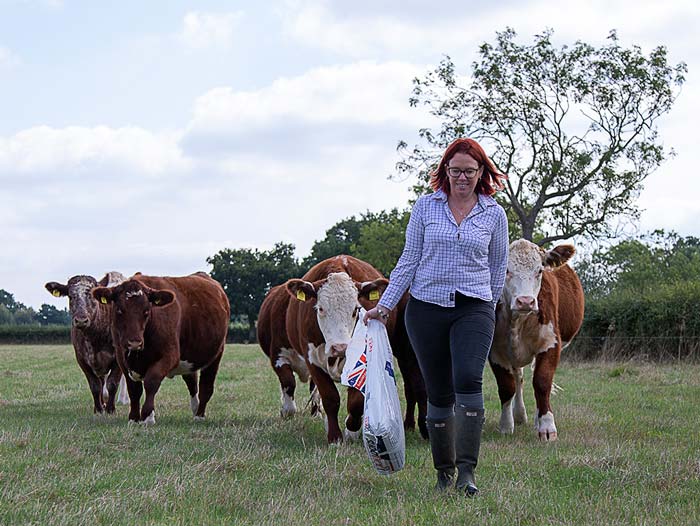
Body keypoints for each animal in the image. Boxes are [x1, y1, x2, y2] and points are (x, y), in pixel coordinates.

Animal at [45, 272, 129, 416]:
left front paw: (110, 409)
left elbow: (112, 383)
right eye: (70, 296)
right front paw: (99, 409)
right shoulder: (82, 359)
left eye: (91, 295)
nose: (81, 320)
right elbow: (95, 385)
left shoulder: (118, 358)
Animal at [91, 272, 230, 424]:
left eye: (146, 311)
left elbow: (151, 381)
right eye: (119, 310)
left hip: (216, 355)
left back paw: (199, 415)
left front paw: (148, 416)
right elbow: (134, 389)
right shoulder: (122, 358)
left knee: (206, 386)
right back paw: (195, 408)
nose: (134, 343)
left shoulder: (169, 356)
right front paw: (134, 417)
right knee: (192, 382)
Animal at [284, 256, 426, 446]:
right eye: (320, 308)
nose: (340, 348)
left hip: (405, 354)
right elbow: (330, 398)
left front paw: (351, 430)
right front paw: (334, 437)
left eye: (356, 309)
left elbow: (356, 401)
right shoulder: (312, 362)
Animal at [486, 241, 584, 444]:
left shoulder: (550, 344)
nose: (526, 301)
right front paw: (506, 425)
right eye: (506, 270)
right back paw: (519, 415)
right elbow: (506, 387)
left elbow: (542, 382)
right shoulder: (495, 352)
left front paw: (546, 427)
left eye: (539, 270)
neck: (518, 321)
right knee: (518, 378)